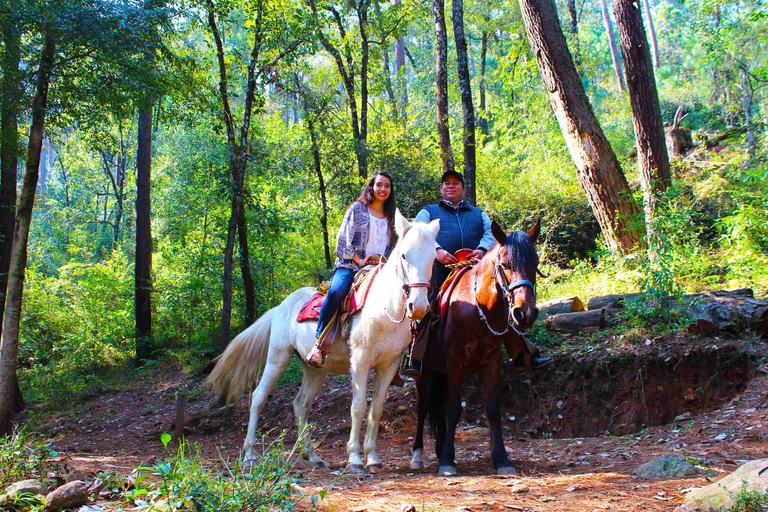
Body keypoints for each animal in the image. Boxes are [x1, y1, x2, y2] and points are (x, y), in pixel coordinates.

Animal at [208, 211, 438, 472]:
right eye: (404, 255)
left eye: (433, 258)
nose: (418, 306)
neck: (385, 307)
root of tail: (281, 307)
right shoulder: (360, 360)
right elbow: (358, 406)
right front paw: (355, 458)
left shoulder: (388, 365)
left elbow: (376, 409)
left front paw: (372, 457)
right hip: (278, 356)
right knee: (258, 397)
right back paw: (250, 454)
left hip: (314, 369)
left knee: (301, 404)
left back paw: (313, 456)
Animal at [414, 220, 540, 476]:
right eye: (505, 264)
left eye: (535, 263)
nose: (525, 313)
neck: (477, 307)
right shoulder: (455, 361)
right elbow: (454, 408)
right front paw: (447, 462)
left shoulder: (491, 362)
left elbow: (492, 408)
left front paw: (501, 459)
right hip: (424, 370)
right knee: (423, 407)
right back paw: (418, 456)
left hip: (442, 372)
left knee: (439, 406)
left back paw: (440, 449)